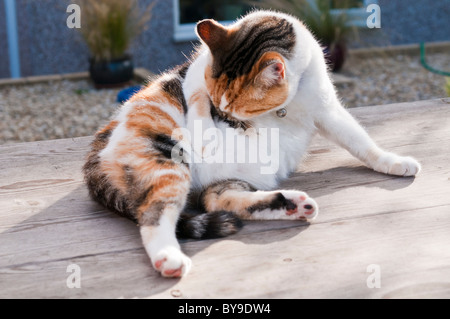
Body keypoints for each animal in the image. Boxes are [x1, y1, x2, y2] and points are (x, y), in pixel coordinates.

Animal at [82, 11, 420, 278]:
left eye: (236, 109)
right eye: (220, 107)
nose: (225, 120)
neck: (286, 107)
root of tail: (94, 154)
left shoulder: (328, 110)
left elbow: (359, 141)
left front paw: (394, 162)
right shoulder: (196, 82)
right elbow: (195, 91)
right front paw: (202, 113)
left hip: (225, 181)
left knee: (219, 201)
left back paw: (292, 205)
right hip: (166, 164)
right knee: (153, 215)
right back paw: (170, 259)